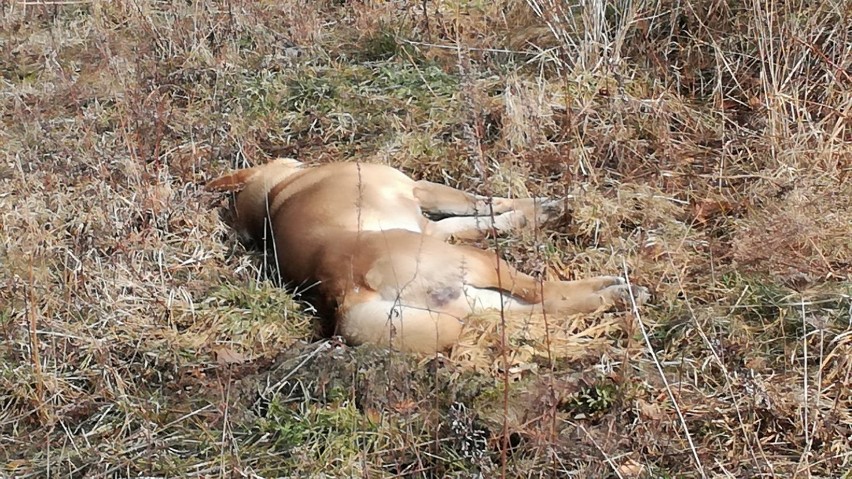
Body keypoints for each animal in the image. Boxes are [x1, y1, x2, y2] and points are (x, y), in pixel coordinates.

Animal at [206, 159, 644, 354]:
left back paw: (614, 295)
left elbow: (482, 216)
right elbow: (485, 203)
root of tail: (346, 292)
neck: (279, 192)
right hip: (478, 264)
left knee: (545, 309)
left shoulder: (436, 227)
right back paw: (620, 289)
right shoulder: (421, 190)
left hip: (475, 301)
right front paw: (542, 208)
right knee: (545, 292)